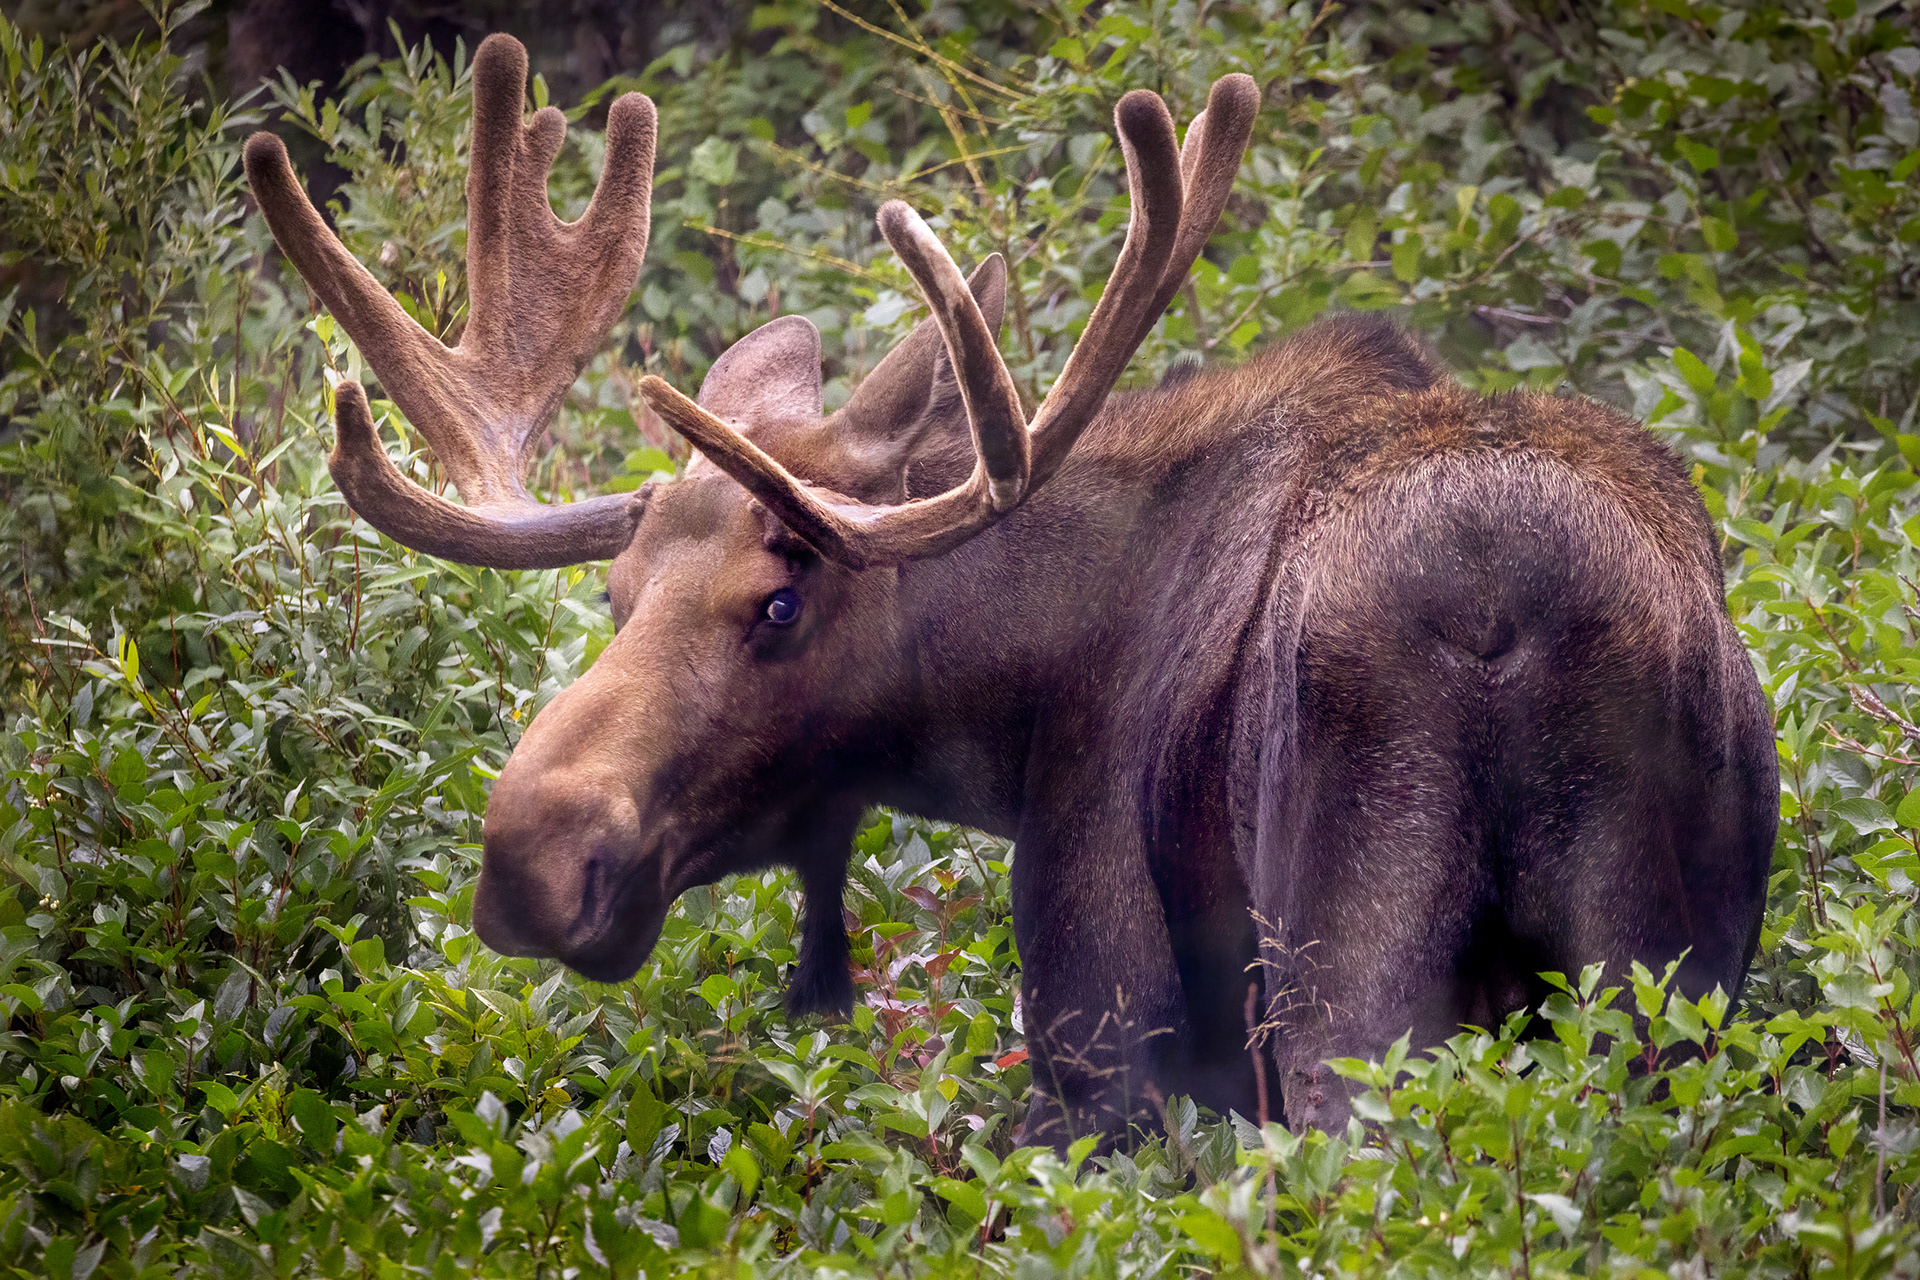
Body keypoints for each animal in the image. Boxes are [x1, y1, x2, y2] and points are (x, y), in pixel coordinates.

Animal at [243, 33, 1778, 1142]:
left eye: (780, 600)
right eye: (615, 595)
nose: (530, 853)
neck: (1008, 723)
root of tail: (1511, 612)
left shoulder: (1106, 1027)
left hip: (1355, 964)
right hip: (1664, 983)